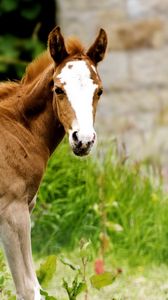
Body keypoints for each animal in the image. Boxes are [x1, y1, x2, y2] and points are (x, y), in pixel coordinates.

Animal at [0, 27, 107, 298]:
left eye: (99, 91)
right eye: (59, 89)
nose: (83, 140)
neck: (18, 125)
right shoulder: (13, 210)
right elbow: (30, 288)